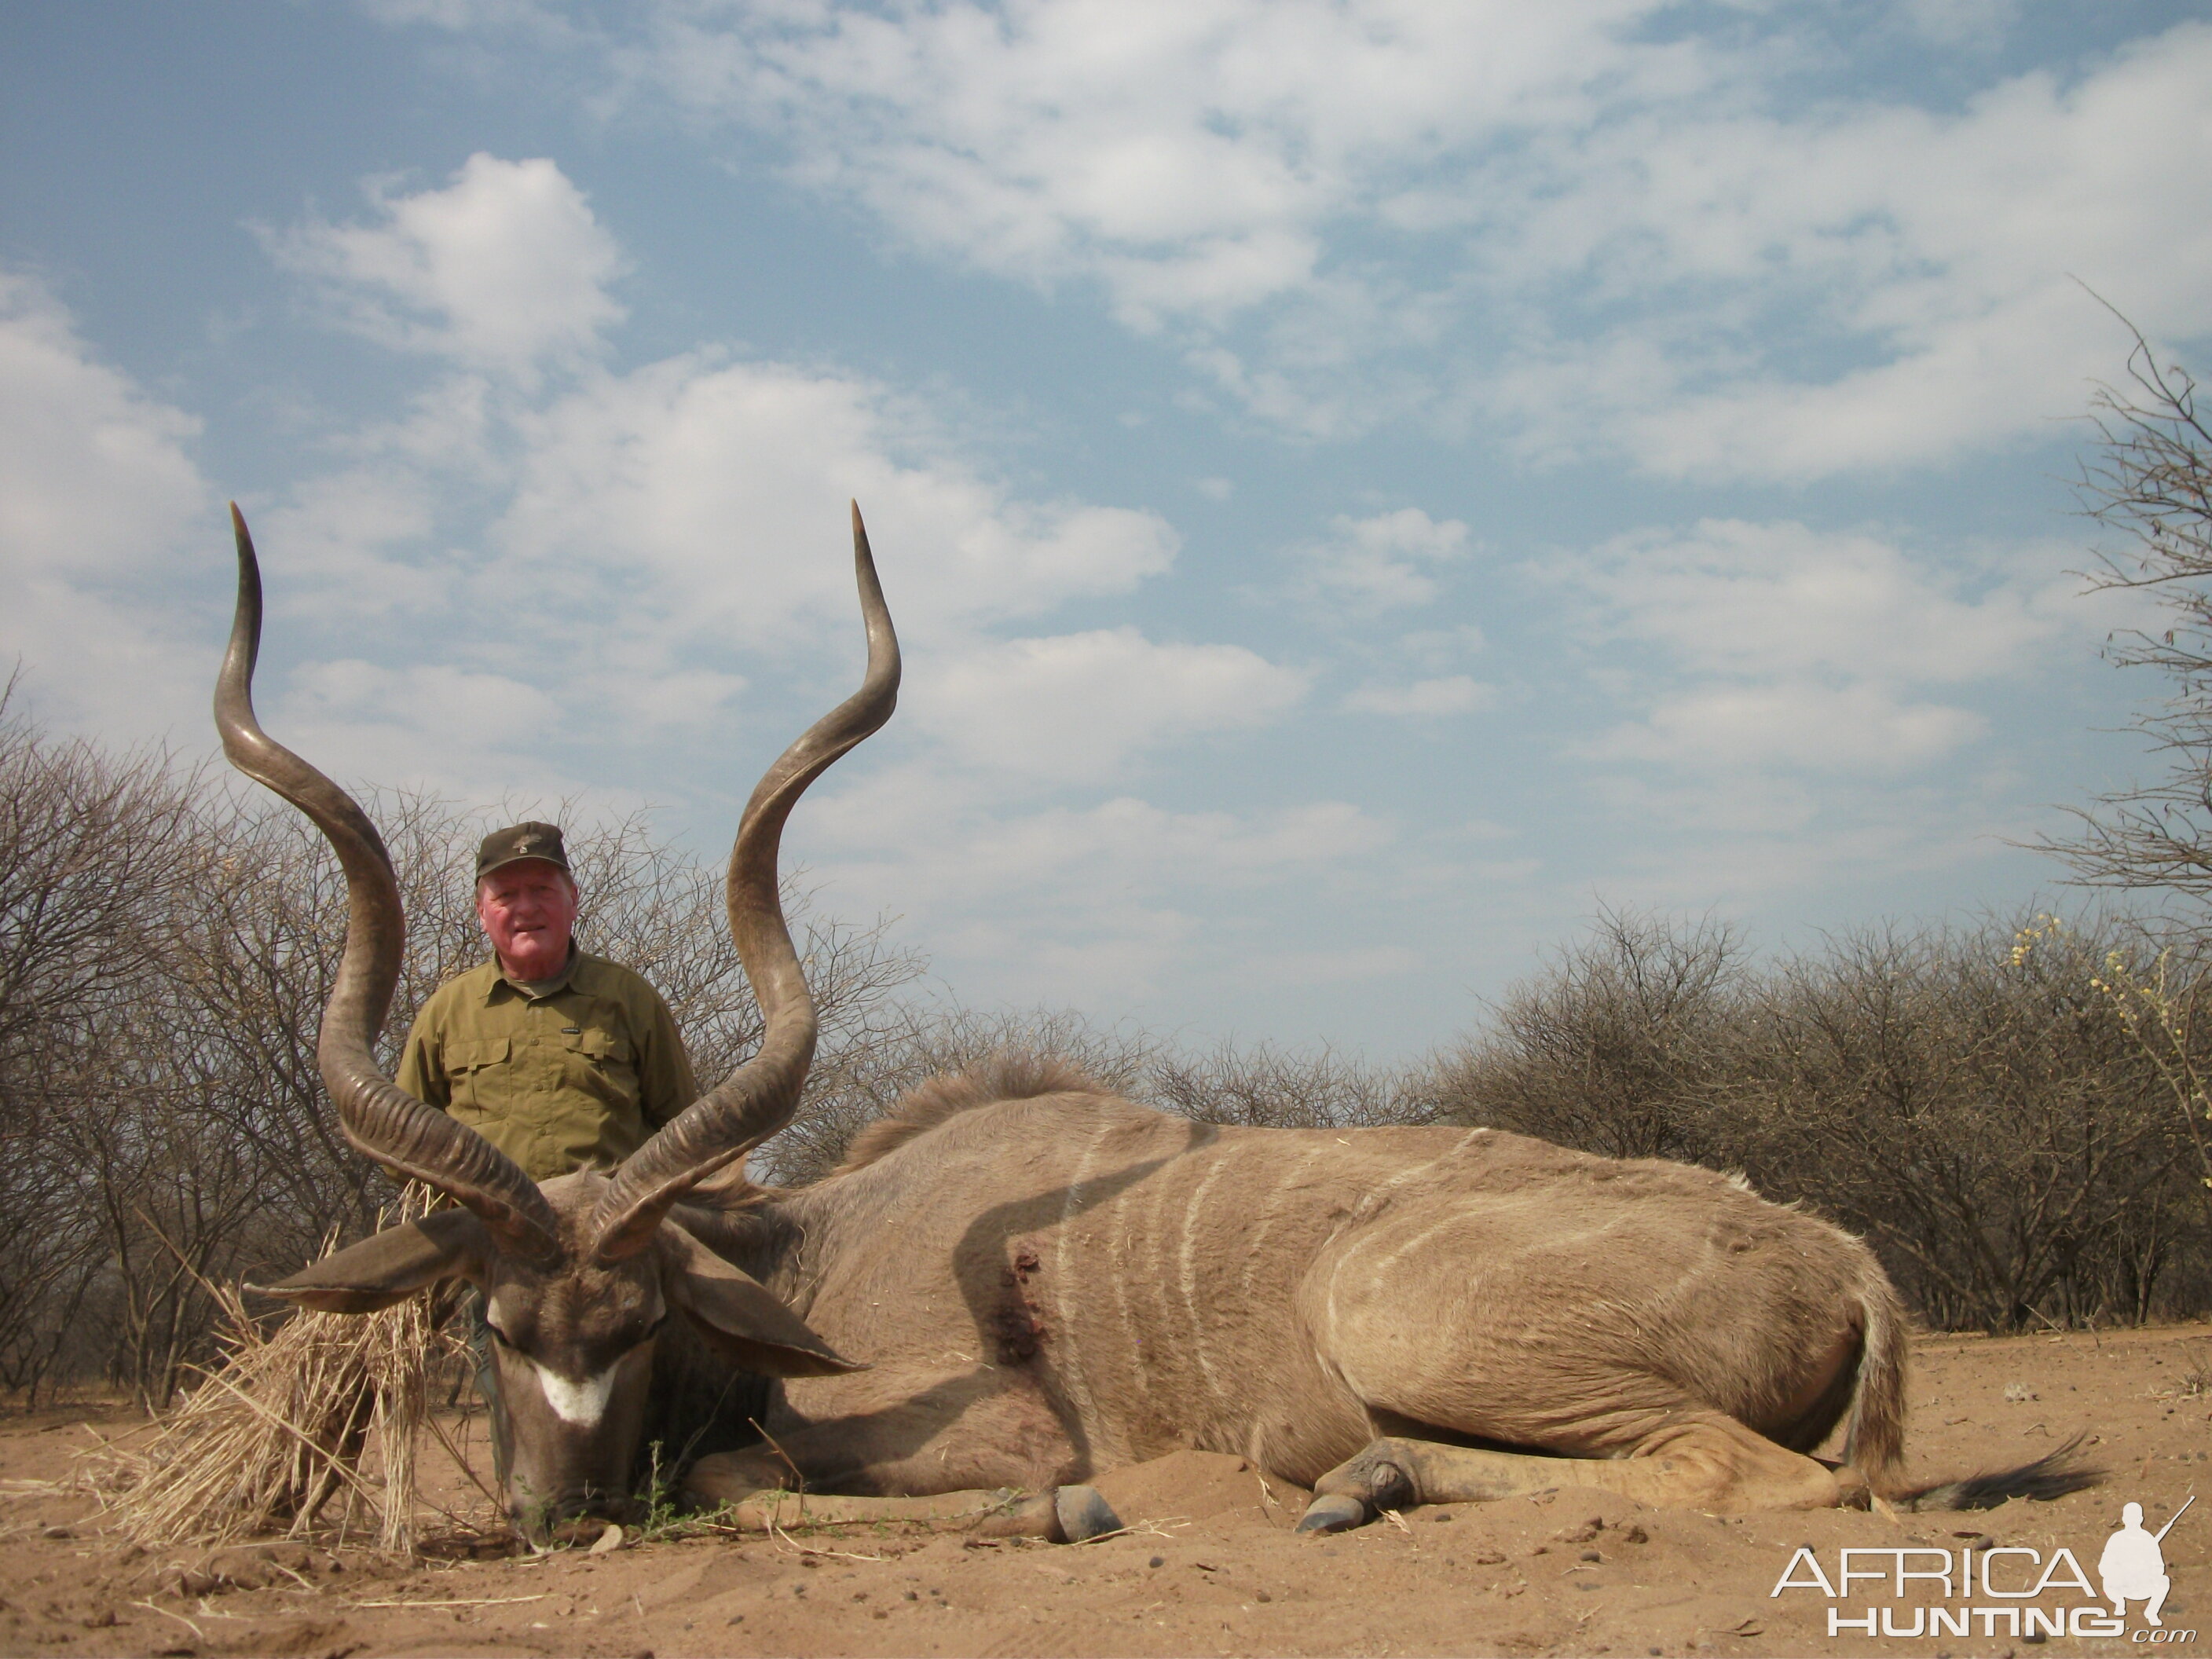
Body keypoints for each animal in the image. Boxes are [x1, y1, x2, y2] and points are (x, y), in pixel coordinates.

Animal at [220, 506, 2088, 1548]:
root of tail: (1840, 1258)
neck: (815, 1247)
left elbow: (782, 1475)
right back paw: (1362, 1482)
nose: (560, 1515)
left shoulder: (975, 1421)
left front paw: (1071, 1511)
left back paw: (1349, 1484)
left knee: (1765, 1480)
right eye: (488, 1323)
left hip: (1394, 1312)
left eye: (633, 1318)